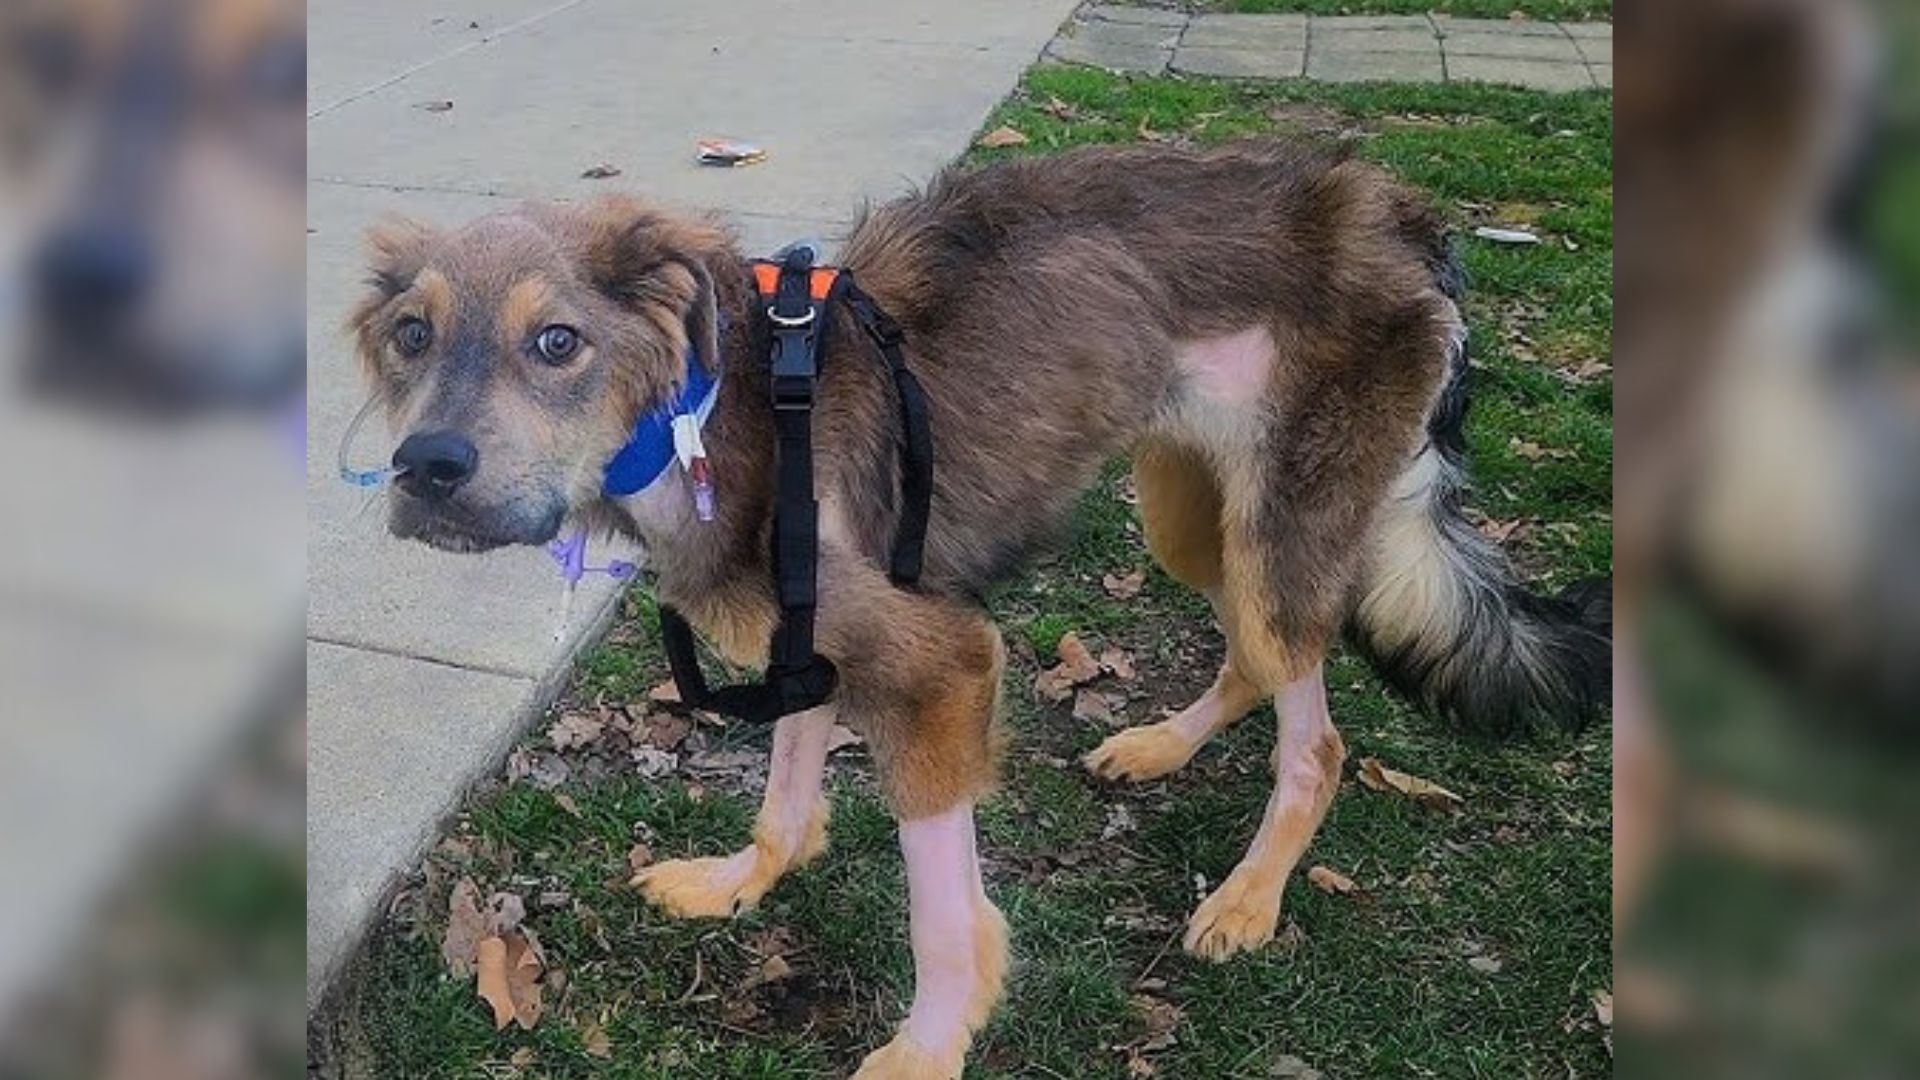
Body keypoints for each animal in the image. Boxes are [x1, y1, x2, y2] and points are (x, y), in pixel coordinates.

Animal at [345, 138, 1605, 1068]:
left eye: (557, 340)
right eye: (411, 336)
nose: (426, 469)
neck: (713, 415)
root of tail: (1397, 210)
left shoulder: (945, 664)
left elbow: (943, 914)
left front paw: (929, 1047)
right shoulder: (816, 637)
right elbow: (789, 798)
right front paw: (744, 880)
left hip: (1281, 529)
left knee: (1320, 738)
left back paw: (1248, 898)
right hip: (1192, 514)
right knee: (1257, 658)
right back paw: (1157, 746)